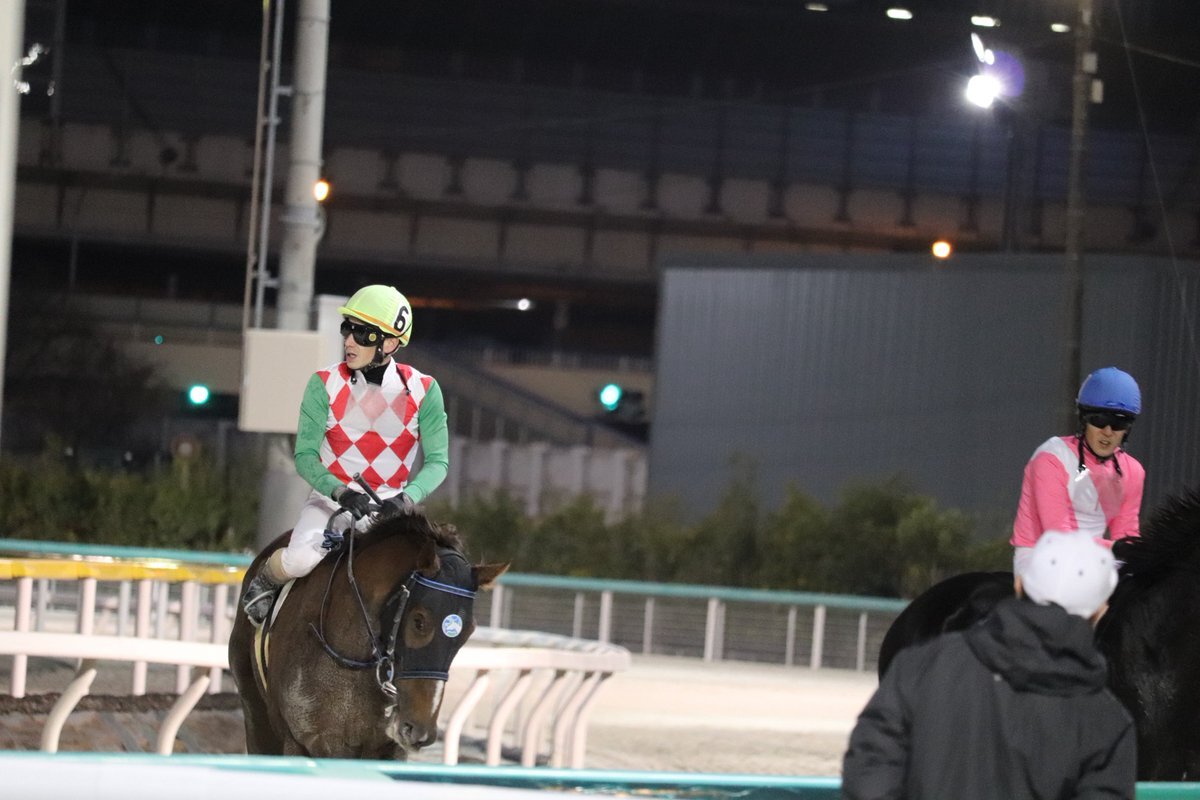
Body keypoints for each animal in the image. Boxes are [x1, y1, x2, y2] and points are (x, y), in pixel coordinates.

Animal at [228, 508, 508, 758]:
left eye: (468, 632)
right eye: (419, 621)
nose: (419, 731)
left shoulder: (388, 749)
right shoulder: (301, 741)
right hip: (256, 713)